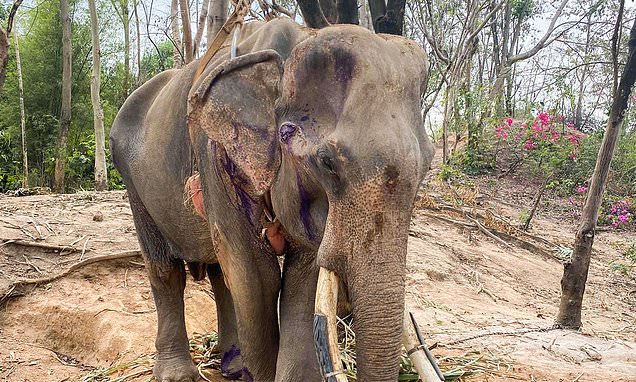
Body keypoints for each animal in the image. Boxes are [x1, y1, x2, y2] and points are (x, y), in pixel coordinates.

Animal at [112, 16, 434, 382]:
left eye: (428, 164)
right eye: (327, 163)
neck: (296, 42)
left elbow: (303, 276)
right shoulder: (215, 151)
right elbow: (255, 273)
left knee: (220, 271)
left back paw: (233, 365)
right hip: (131, 178)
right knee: (166, 270)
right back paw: (179, 374)